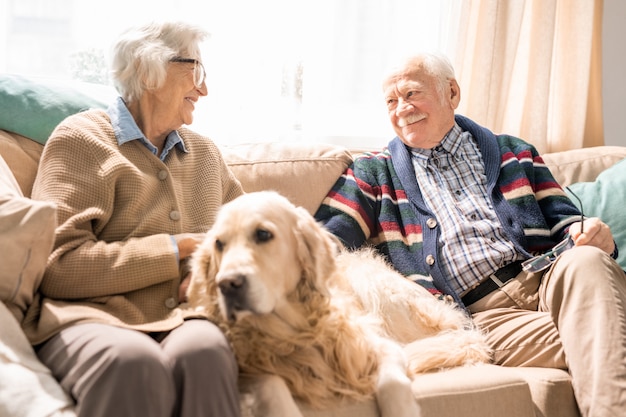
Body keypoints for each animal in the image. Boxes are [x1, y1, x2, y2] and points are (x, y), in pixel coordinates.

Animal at [188, 190, 490, 414]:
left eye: (263, 234)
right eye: (218, 244)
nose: (227, 284)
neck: (292, 330)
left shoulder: (379, 346)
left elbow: (391, 384)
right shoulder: (249, 368)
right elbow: (271, 385)